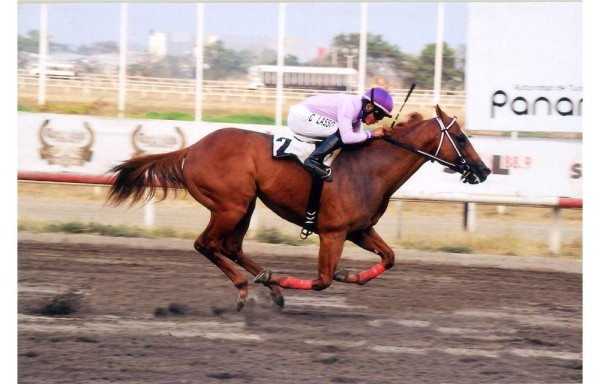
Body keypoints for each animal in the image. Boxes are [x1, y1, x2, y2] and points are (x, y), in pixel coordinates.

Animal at [109, 104, 492, 308]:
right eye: (461, 138)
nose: (485, 170)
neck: (369, 168)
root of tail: (192, 148)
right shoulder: (333, 232)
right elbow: (322, 280)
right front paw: (285, 277)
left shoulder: (359, 230)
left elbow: (389, 258)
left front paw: (350, 274)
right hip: (231, 205)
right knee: (207, 244)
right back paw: (250, 285)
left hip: (245, 205)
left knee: (230, 246)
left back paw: (270, 286)